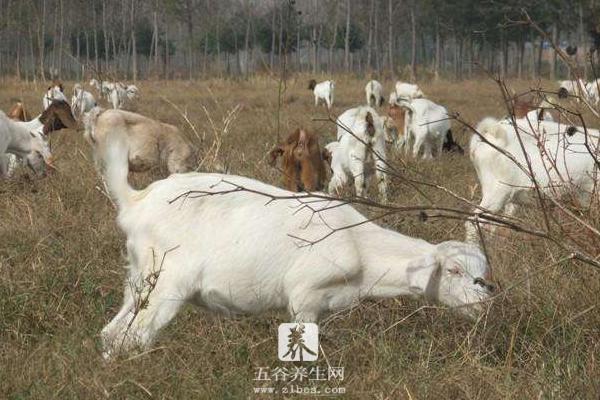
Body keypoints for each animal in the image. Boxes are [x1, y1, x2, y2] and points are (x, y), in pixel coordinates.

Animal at [97, 133, 492, 358]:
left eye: (482, 272)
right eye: (453, 270)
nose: (483, 305)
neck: (359, 247)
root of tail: (135, 201)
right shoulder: (305, 296)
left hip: (139, 279)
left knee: (111, 333)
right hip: (166, 281)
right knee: (136, 336)